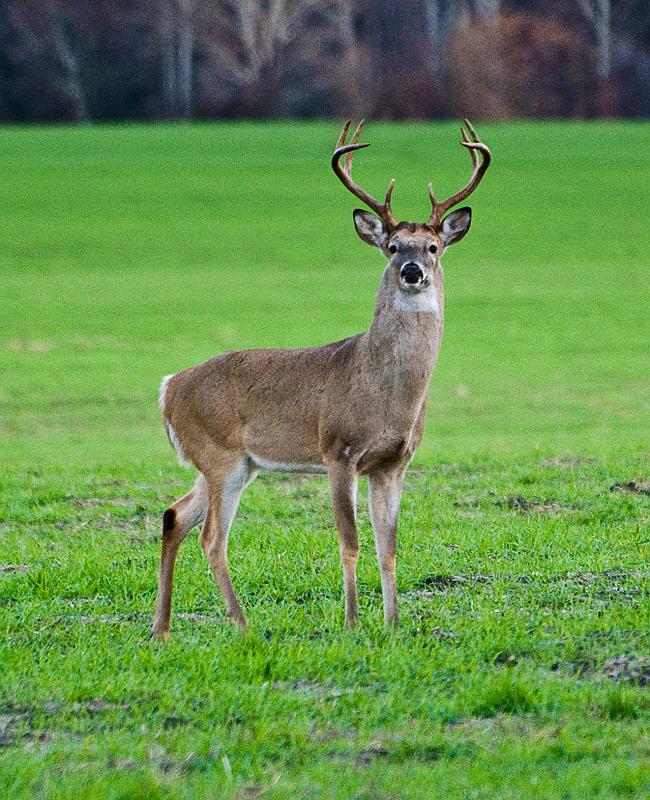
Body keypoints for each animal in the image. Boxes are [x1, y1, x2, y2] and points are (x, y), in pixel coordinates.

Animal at [152, 120, 491, 639]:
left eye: (433, 247)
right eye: (393, 247)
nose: (413, 270)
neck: (385, 394)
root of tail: (169, 388)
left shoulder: (393, 463)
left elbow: (388, 546)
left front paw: (393, 622)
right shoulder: (338, 450)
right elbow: (349, 541)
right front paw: (352, 621)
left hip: (231, 463)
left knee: (175, 516)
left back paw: (162, 628)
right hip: (220, 455)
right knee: (211, 537)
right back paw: (242, 624)